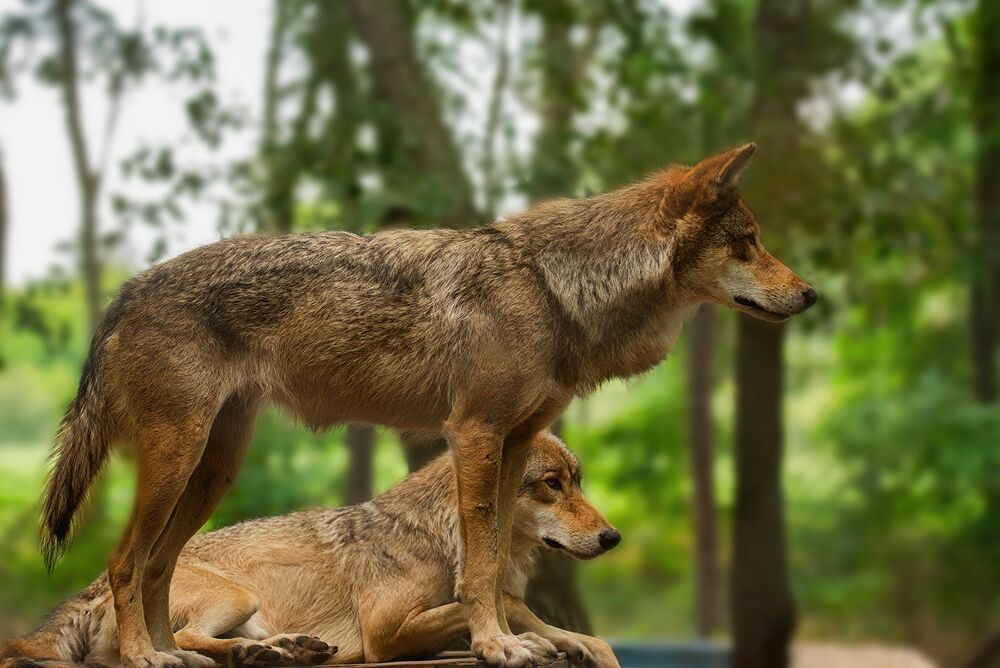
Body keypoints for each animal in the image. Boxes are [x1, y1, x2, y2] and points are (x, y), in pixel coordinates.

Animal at [5, 433, 619, 667]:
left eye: (579, 481)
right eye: (551, 485)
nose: (613, 537)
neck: (441, 538)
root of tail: (90, 588)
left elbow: (579, 634)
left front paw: (574, 646)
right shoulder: (384, 633)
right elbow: (503, 608)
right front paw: (524, 641)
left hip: (249, 609)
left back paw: (287, 649)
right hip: (236, 595)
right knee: (186, 643)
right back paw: (257, 653)